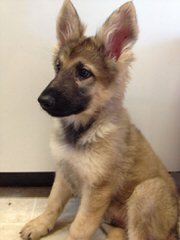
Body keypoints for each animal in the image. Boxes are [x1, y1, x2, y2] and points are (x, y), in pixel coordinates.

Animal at [20, 0, 179, 240]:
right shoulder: (64, 171)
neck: (83, 129)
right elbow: (53, 203)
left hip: (146, 193)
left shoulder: (97, 189)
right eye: (58, 67)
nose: (42, 101)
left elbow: (79, 227)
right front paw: (40, 224)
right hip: (112, 219)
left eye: (84, 73)